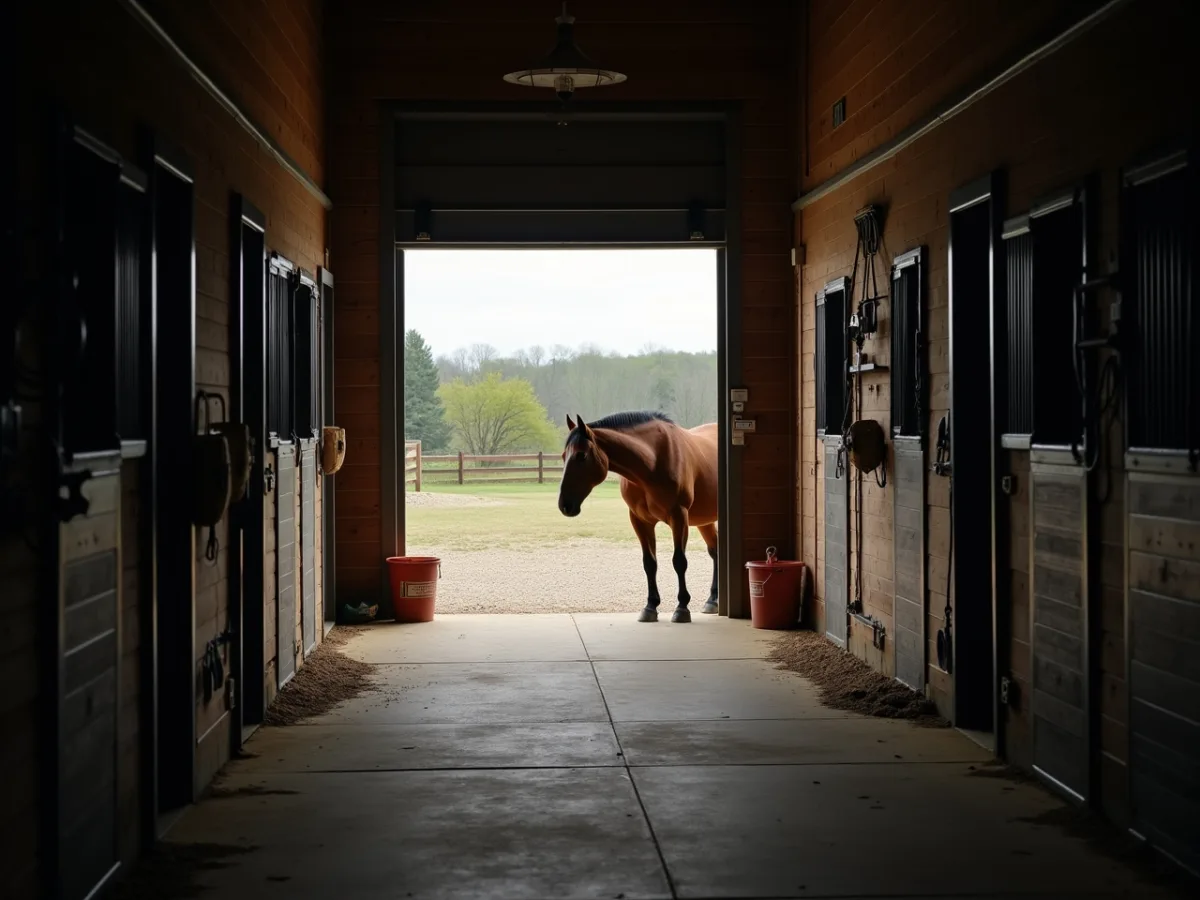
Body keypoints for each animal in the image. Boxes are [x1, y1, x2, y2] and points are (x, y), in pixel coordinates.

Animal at [557, 411, 719, 623]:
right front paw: (650, 606)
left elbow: (679, 561)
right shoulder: (640, 521)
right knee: (716, 551)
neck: (653, 461)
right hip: (704, 520)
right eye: (563, 456)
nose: (565, 505)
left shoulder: (679, 517)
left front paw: (682, 608)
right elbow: (649, 563)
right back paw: (712, 600)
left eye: (581, 455)